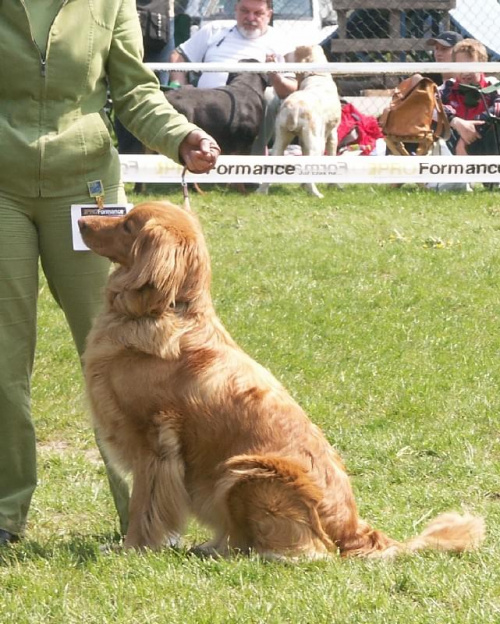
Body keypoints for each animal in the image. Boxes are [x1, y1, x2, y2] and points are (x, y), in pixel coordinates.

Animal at [79, 202, 484, 560]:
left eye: (128, 225)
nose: (82, 220)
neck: (163, 310)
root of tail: (355, 531)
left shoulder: (154, 442)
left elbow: (142, 508)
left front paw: (132, 550)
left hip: (246, 472)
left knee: (309, 551)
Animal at [260, 45, 342, 197]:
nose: (284, 55)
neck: (316, 76)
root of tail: (294, 108)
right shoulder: (333, 134)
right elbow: (332, 155)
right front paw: (334, 185)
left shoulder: (303, 140)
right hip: (316, 144)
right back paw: (316, 193)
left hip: (281, 139)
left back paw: (261, 191)